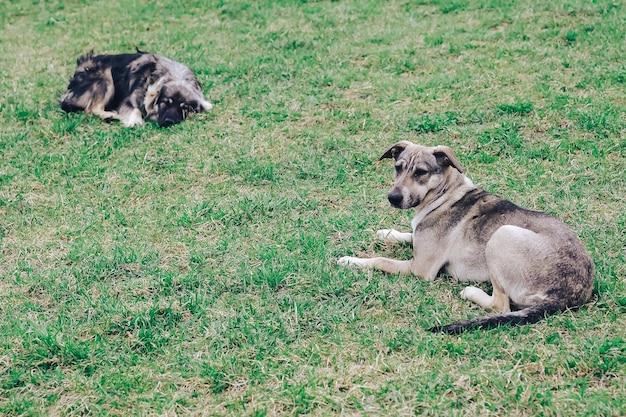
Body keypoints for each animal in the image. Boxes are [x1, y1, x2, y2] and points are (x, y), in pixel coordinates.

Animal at [61, 50, 212, 126]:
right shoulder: (129, 101)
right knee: (91, 108)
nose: (169, 122)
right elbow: (135, 110)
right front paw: (135, 121)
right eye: (165, 103)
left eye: (185, 108)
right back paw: (110, 116)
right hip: (106, 79)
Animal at [338, 141, 592, 334]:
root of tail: (568, 294)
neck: (446, 194)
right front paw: (387, 233)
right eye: (398, 167)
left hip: (501, 235)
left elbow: (380, 260)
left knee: (500, 305)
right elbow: (409, 234)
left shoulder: (420, 269)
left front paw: (350, 260)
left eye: (420, 172)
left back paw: (470, 291)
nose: (393, 198)